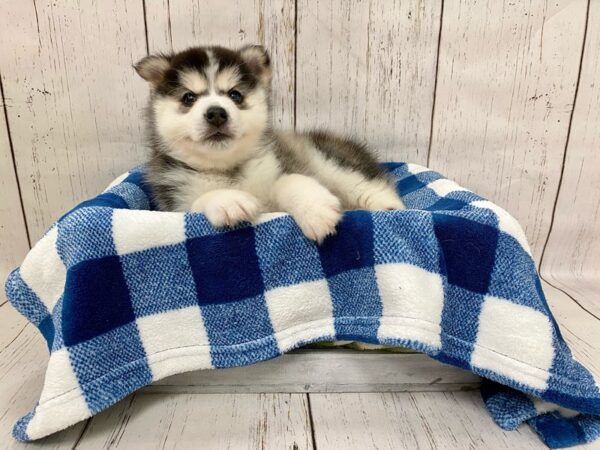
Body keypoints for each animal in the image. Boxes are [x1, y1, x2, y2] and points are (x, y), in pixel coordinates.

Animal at [135, 45, 406, 243]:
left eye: (235, 94)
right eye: (189, 97)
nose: (216, 113)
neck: (227, 170)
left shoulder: (280, 166)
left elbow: (288, 180)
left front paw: (315, 209)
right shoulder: (175, 206)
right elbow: (200, 201)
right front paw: (230, 201)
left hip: (330, 162)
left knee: (371, 188)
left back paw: (389, 209)